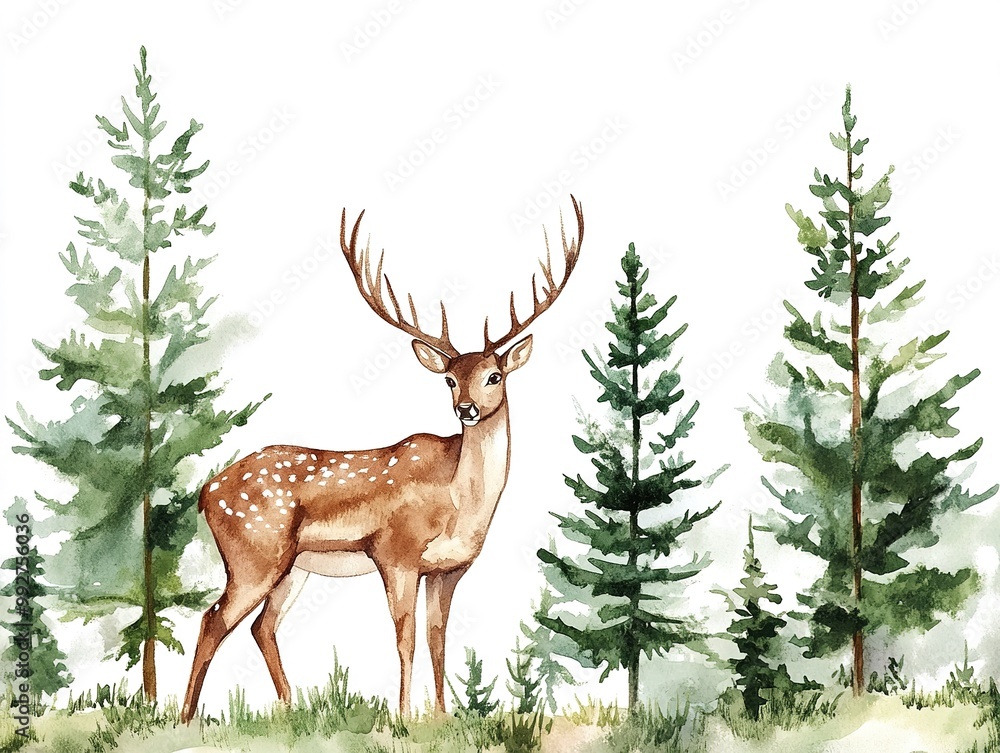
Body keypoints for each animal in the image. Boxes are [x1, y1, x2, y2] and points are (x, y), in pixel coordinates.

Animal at [180, 196, 583, 724]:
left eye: (494, 375)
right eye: (449, 379)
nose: (466, 409)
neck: (460, 504)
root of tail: (205, 493)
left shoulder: (449, 569)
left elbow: (438, 640)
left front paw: (442, 717)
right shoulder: (396, 552)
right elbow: (405, 638)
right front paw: (403, 717)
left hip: (292, 567)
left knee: (261, 627)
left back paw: (290, 708)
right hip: (254, 554)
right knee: (212, 620)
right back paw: (184, 719)